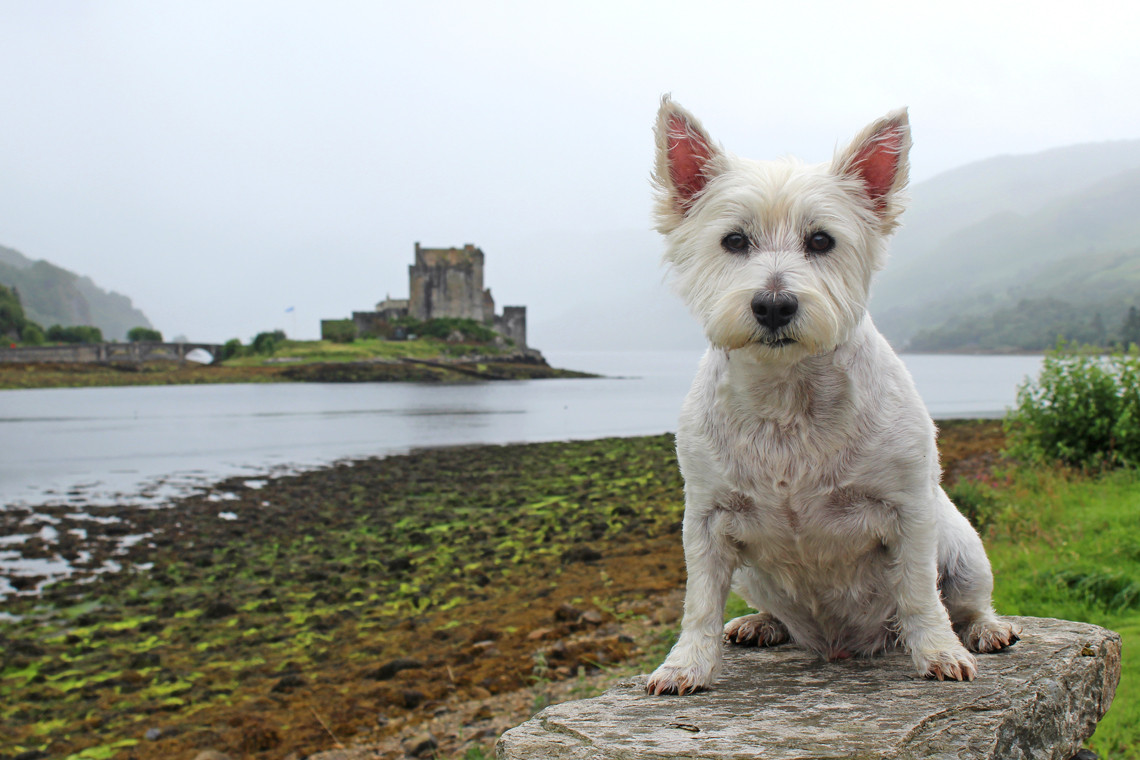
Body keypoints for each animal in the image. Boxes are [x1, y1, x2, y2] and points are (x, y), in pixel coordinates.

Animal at [647, 96, 1021, 697]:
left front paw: (939, 653)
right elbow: (700, 601)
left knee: (966, 599)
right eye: (734, 240)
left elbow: (919, 591)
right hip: (751, 572)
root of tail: (842, 645)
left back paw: (986, 630)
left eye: (821, 240)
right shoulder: (707, 516)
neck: (786, 395)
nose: (774, 305)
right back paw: (761, 623)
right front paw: (685, 665)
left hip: (964, 546)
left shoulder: (910, 510)